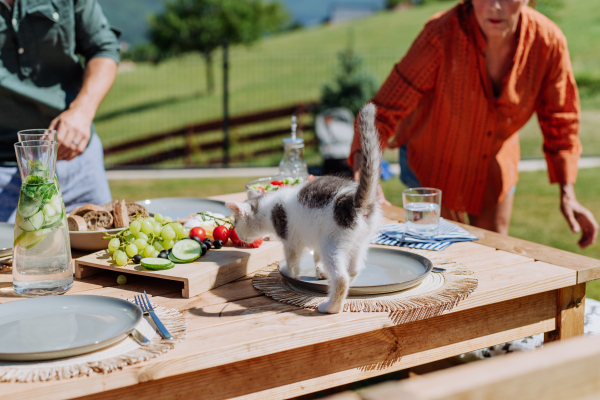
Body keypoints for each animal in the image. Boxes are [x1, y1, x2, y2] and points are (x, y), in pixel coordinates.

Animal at [225, 102, 380, 312]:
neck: (269, 208)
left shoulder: (291, 240)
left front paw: (289, 272)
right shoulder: (314, 240)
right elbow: (315, 256)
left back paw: (330, 307)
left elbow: (292, 260)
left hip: (332, 242)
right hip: (358, 241)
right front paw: (320, 271)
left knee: (341, 278)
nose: (239, 237)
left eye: (234, 222)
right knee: (353, 270)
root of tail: (353, 200)